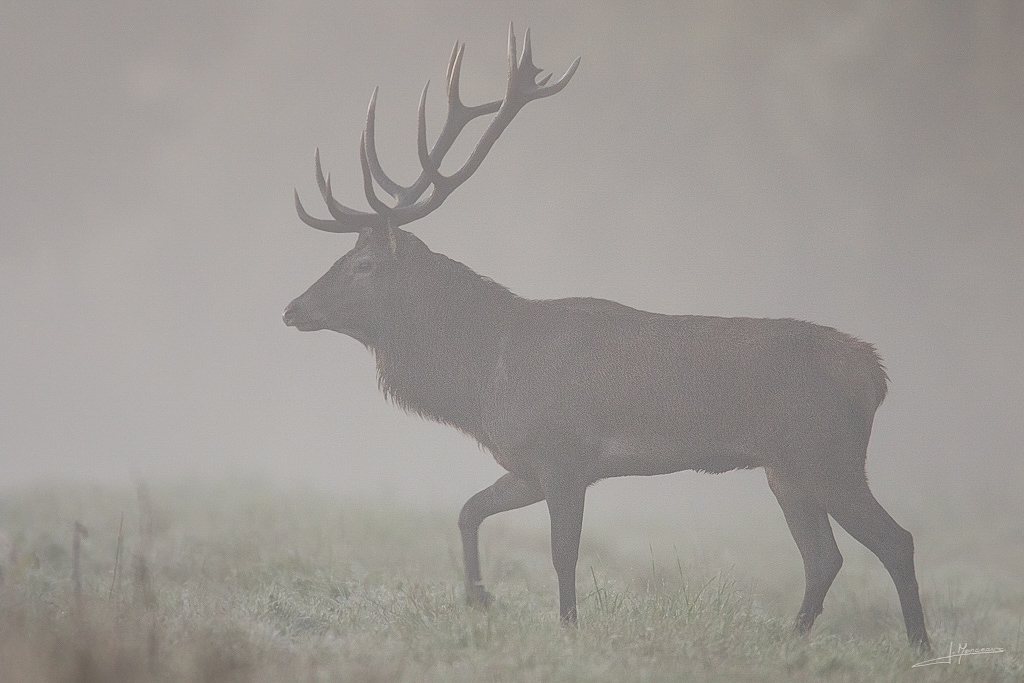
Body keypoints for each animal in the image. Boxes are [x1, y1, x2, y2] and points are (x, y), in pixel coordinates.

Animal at [284, 24, 933, 651]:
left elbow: (561, 553)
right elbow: (468, 510)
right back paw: (788, 644)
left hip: (829, 455)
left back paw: (918, 646)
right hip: (787, 469)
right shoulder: (527, 464)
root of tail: (876, 372)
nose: (292, 308)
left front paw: (567, 629)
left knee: (894, 540)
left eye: (363, 264)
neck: (486, 377)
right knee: (824, 557)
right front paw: (479, 601)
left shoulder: (564, 454)